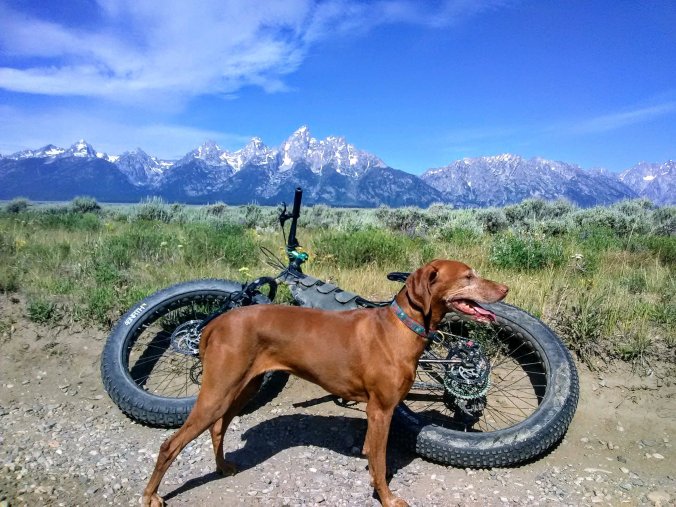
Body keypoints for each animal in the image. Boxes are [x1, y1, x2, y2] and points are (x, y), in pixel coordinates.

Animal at [142, 259, 508, 507]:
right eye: (468, 276)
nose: (505, 290)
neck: (401, 327)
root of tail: (215, 323)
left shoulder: (376, 414)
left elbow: (372, 455)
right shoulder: (382, 410)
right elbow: (380, 462)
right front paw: (387, 498)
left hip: (242, 388)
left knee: (218, 427)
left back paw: (223, 466)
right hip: (218, 391)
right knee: (170, 444)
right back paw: (151, 495)